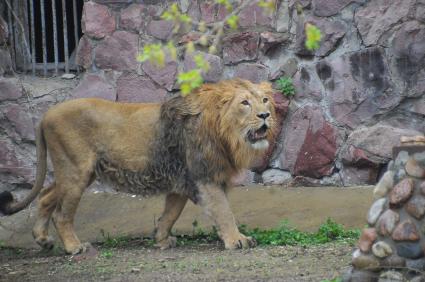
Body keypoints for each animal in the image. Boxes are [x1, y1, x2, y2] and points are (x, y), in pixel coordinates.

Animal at [0, 78, 274, 254]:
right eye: (245, 103)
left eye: (265, 100)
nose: (265, 115)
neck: (227, 134)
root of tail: (46, 114)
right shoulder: (204, 176)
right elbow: (224, 211)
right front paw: (238, 240)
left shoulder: (181, 179)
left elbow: (170, 213)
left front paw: (161, 240)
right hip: (76, 170)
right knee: (61, 214)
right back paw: (74, 247)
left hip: (77, 172)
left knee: (46, 196)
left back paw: (43, 239)